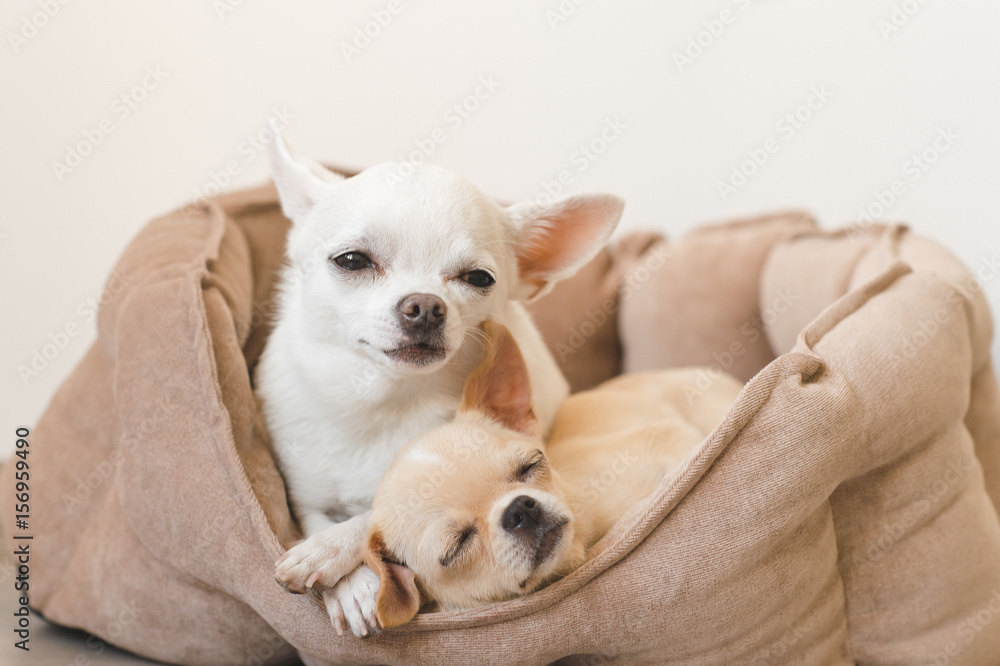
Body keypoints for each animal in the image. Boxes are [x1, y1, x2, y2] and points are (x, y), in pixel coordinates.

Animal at [254, 135, 620, 632]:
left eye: (478, 278)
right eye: (351, 261)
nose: (425, 305)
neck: (388, 400)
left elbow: (373, 517)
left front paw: (331, 553)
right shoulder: (305, 502)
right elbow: (321, 518)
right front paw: (350, 585)